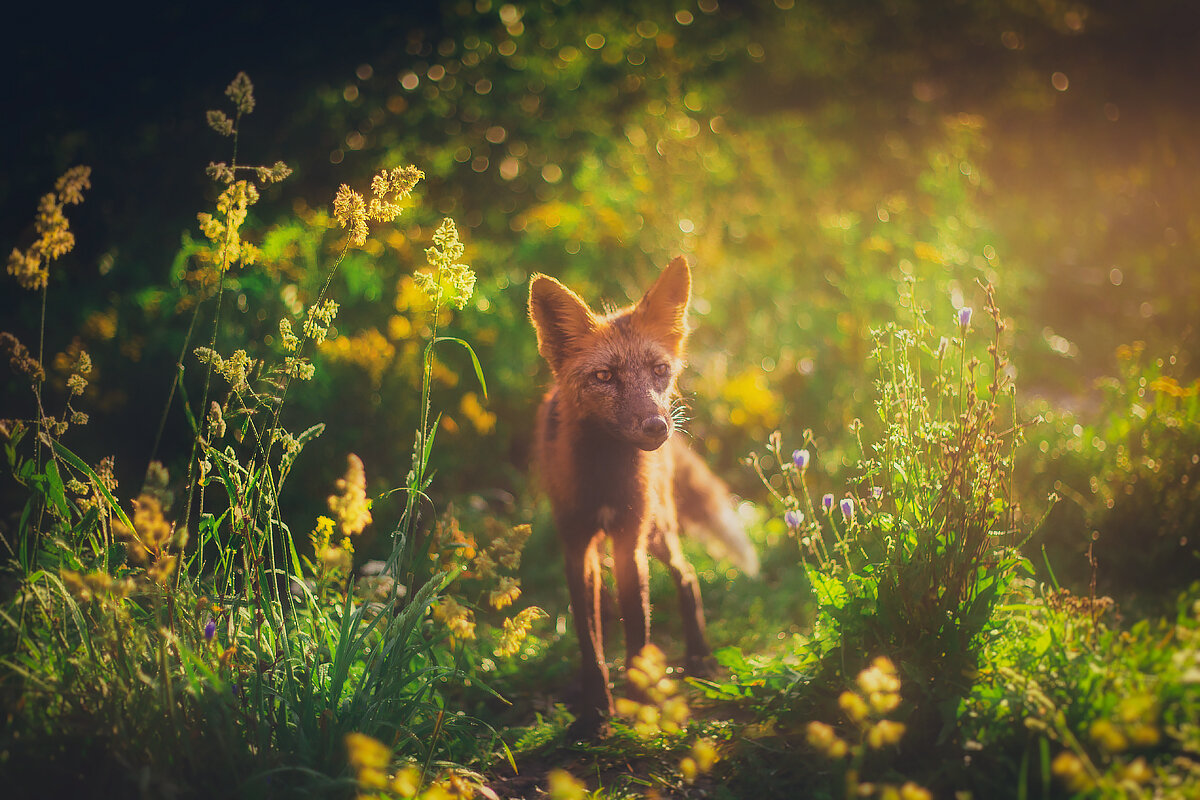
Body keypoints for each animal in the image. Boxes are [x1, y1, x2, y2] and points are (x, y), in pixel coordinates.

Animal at [528, 255, 753, 734]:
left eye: (659, 371)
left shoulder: (630, 540)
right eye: (604, 376)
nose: (657, 427)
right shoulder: (576, 545)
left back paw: (700, 658)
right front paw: (596, 713)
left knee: (688, 576)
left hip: (658, 530)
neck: (604, 479)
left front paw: (639, 706)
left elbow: (638, 631)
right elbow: (590, 644)